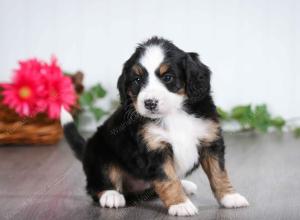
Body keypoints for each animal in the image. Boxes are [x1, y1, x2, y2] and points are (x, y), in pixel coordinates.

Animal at [61, 37, 248, 216]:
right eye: (137, 80)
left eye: (168, 77)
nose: (150, 103)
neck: (174, 114)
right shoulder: (154, 149)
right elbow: (168, 179)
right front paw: (180, 204)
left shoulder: (210, 140)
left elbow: (219, 173)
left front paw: (230, 196)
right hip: (100, 152)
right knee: (96, 185)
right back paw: (111, 195)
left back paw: (185, 185)